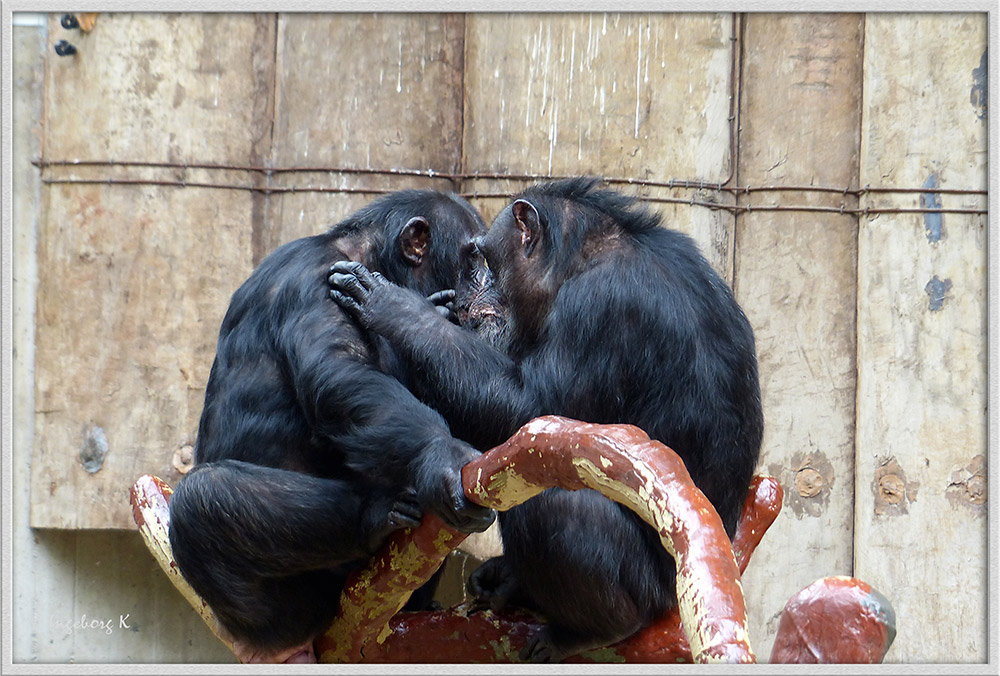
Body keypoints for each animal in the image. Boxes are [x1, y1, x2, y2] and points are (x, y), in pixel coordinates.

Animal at [168, 190, 496, 664]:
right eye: (472, 256)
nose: (485, 280)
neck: (365, 255)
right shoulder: (317, 280)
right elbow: (339, 370)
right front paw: (441, 456)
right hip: (280, 609)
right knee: (201, 499)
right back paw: (374, 517)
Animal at [332, 177, 760, 664]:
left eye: (482, 259)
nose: (466, 293)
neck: (577, 264)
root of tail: (673, 609)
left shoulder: (599, 305)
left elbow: (529, 408)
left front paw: (395, 306)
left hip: (653, 594)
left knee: (552, 499)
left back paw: (592, 629)